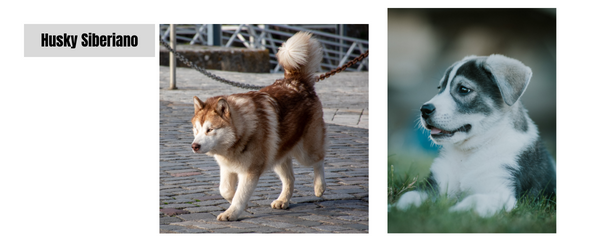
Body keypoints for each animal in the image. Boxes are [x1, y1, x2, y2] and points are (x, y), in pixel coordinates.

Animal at [190, 31, 326, 221]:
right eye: (196, 130)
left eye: (209, 130)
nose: (194, 146)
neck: (240, 135)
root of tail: (296, 81)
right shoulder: (227, 168)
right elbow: (225, 190)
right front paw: (239, 203)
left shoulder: (250, 171)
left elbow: (240, 194)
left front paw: (232, 212)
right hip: (278, 155)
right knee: (290, 178)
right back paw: (283, 200)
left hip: (305, 152)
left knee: (319, 160)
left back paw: (319, 187)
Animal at [396, 54, 556, 218]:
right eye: (439, 88)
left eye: (463, 89)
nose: (424, 110)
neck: (470, 152)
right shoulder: (434, 186)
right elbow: (409, 196)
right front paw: (398, 209)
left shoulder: (502, 193)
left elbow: (474, 200)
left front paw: (453, 213)